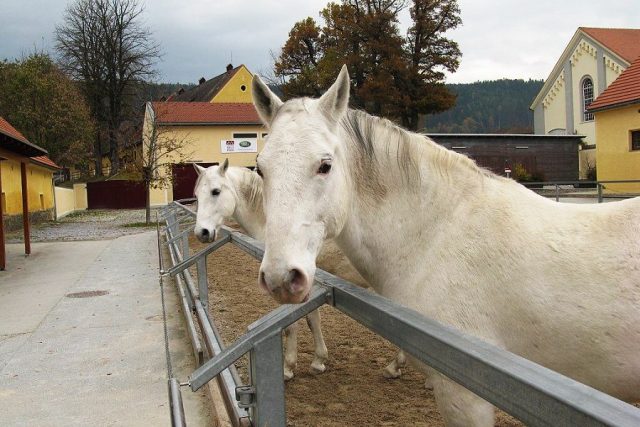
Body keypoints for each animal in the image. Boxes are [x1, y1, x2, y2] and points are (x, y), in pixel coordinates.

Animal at [192, 161, 408, 382]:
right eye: (197, 195)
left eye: (216, 191)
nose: (202, 233)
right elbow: (312, 319)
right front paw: (319, 361)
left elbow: (295, 324)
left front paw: (289, 367)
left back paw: (394, 367)